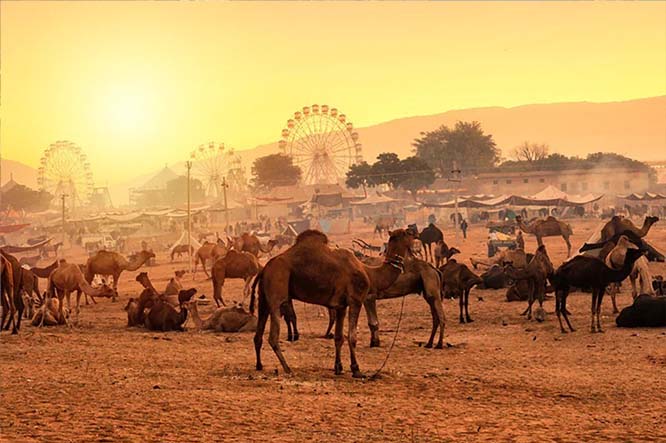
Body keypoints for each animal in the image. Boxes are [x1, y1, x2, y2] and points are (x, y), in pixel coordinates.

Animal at [250, 229, 412, 378]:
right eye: (408, 234)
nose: (415, 235)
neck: (369, 273)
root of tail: (264, 269)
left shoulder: (341, 306)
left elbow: (339, 337)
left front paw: (338, 368)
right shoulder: (356, 300)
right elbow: (352, 336)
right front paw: (356, 369)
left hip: (264, 299)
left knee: (258, 335)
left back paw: (259, 365)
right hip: (276, 293)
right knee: (273, 336)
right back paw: (287, 368)